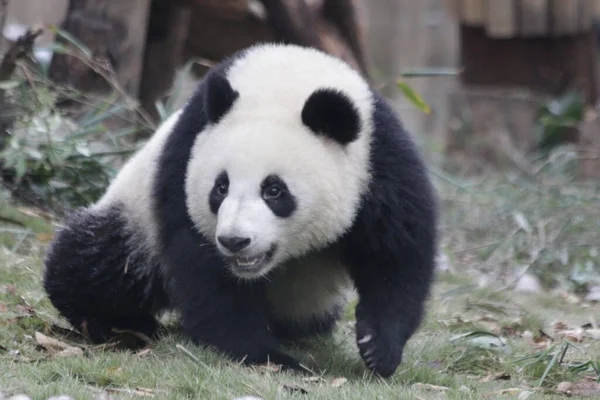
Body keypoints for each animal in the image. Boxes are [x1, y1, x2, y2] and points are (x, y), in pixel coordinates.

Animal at [42, 43, 436, 378]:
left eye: (274, 190)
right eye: (221, 187)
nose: (235, 241)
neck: (285, 79)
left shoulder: (379, 159)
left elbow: (397, 254)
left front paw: (378, 347)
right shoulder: (183, 158)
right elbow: (205, 271)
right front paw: (269, 356)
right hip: (135, 212)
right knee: (101, 260)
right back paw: (117, 322)